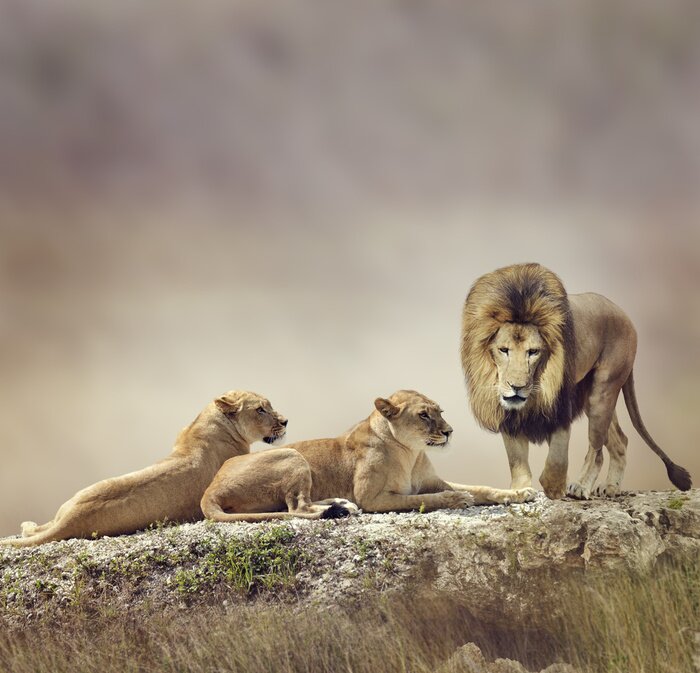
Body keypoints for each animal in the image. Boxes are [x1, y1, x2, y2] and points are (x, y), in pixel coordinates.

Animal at [1, 391, 288, 547]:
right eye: (261, 409)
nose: (286, 421)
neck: (207, 422)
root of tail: (70, 519)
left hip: (65, 506)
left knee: (36, 529)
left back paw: (29, 524)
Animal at [200, 389, 536, 522]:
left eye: (440, 412)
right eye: (424, 415)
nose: (450, 431)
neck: (411, 453)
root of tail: (210, 487)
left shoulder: (433, 480)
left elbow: (483, 488)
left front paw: (521, 493)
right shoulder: (373, 498)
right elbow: (421, 499)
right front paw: (456, 500)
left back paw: (340, 504)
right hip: (291, 455)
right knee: (297, 508)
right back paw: (339, 509)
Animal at [461, 262, 692, 500]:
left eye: (533, 352)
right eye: (503, 350)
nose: (517, 387)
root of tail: (623, 314)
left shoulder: (561, 405)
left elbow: (558, 454)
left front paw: (554, 486)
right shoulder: (508, 416)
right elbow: (517, 461)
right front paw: (519, 490)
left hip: (603, 391)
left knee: (597, 450)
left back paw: (581, 487)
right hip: (592, 397)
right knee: (620, 440)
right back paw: (611, 487)